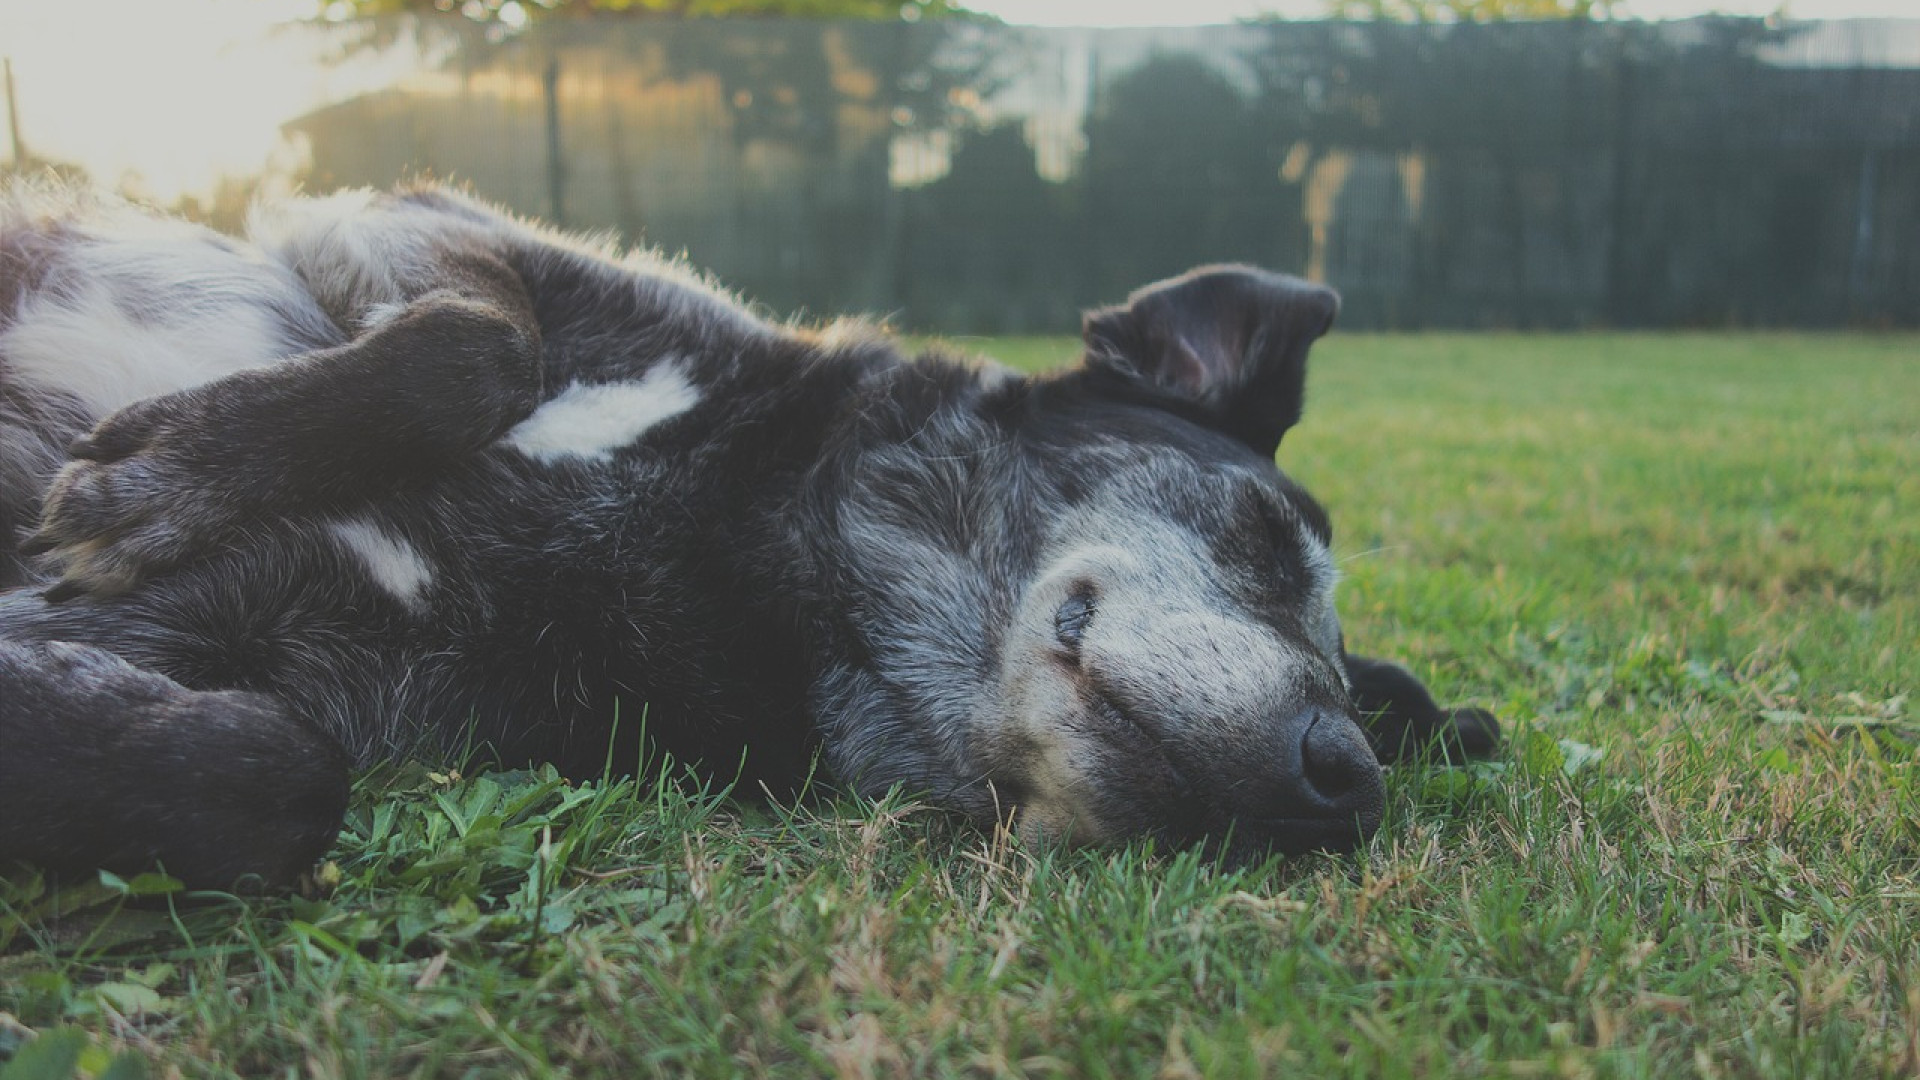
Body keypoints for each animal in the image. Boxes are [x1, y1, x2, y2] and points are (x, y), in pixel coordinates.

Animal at [0, 178, 1497, 883]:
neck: (740, 542)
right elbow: (477, 349)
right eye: (1263, 533)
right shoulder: (407, 222)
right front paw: (159, 477)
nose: (1344, 784)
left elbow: (276, 775)